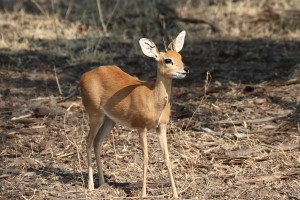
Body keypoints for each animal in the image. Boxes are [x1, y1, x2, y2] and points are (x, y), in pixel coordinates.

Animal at [79, 30, 188, 198]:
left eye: (180, 56)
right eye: (167, 60)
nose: (184, 70)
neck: (153, 99)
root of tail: (84, 75)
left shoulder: (161, 127)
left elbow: (167, 158)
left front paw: (176, 195)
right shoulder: (141, 128)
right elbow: (145, 158)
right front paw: (143, 194)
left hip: (109, 120)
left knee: (97, 142)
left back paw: (102, 183)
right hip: (95, 116)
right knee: (88, 142)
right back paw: (91, 186)